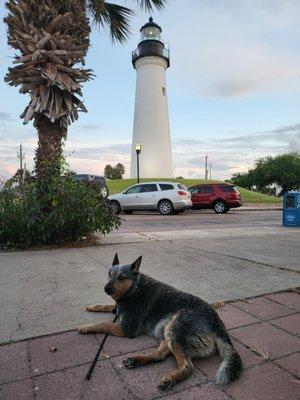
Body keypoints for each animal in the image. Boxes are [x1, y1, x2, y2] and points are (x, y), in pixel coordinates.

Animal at [78, 255, 243, 390]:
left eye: (122, 277)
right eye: (109, 274)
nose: (106, 288)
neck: (134, 289)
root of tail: (218, 324)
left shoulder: (127, 329)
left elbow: (103, 324)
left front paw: (86, 327)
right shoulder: (117, 309)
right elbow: (107, 306)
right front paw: (93, 306)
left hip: (174, 330)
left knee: (188, 366)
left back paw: (169, 379)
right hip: (166, 332)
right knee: (160, 355)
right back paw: (137, 360)